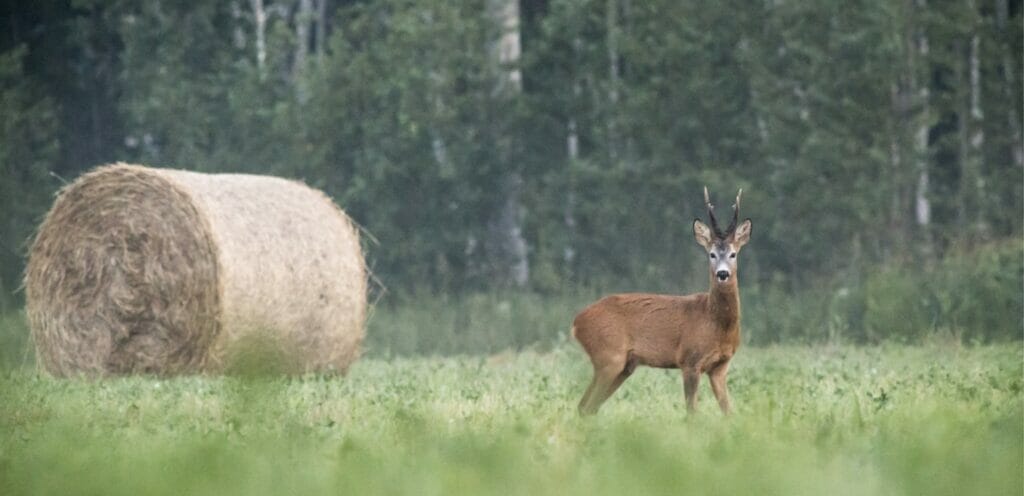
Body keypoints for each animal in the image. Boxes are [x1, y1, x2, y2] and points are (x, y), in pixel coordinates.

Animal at [573, 186, 757, 414]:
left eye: (733, 254)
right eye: (712, 254)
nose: (722, 274)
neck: (715, 324)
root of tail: (576, 322)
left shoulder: (720, 367)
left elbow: (729, 412)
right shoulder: (689, 360)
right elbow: (691, 412)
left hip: (623, 366)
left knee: (586, 407)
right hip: (608, 355)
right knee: (586, 405)